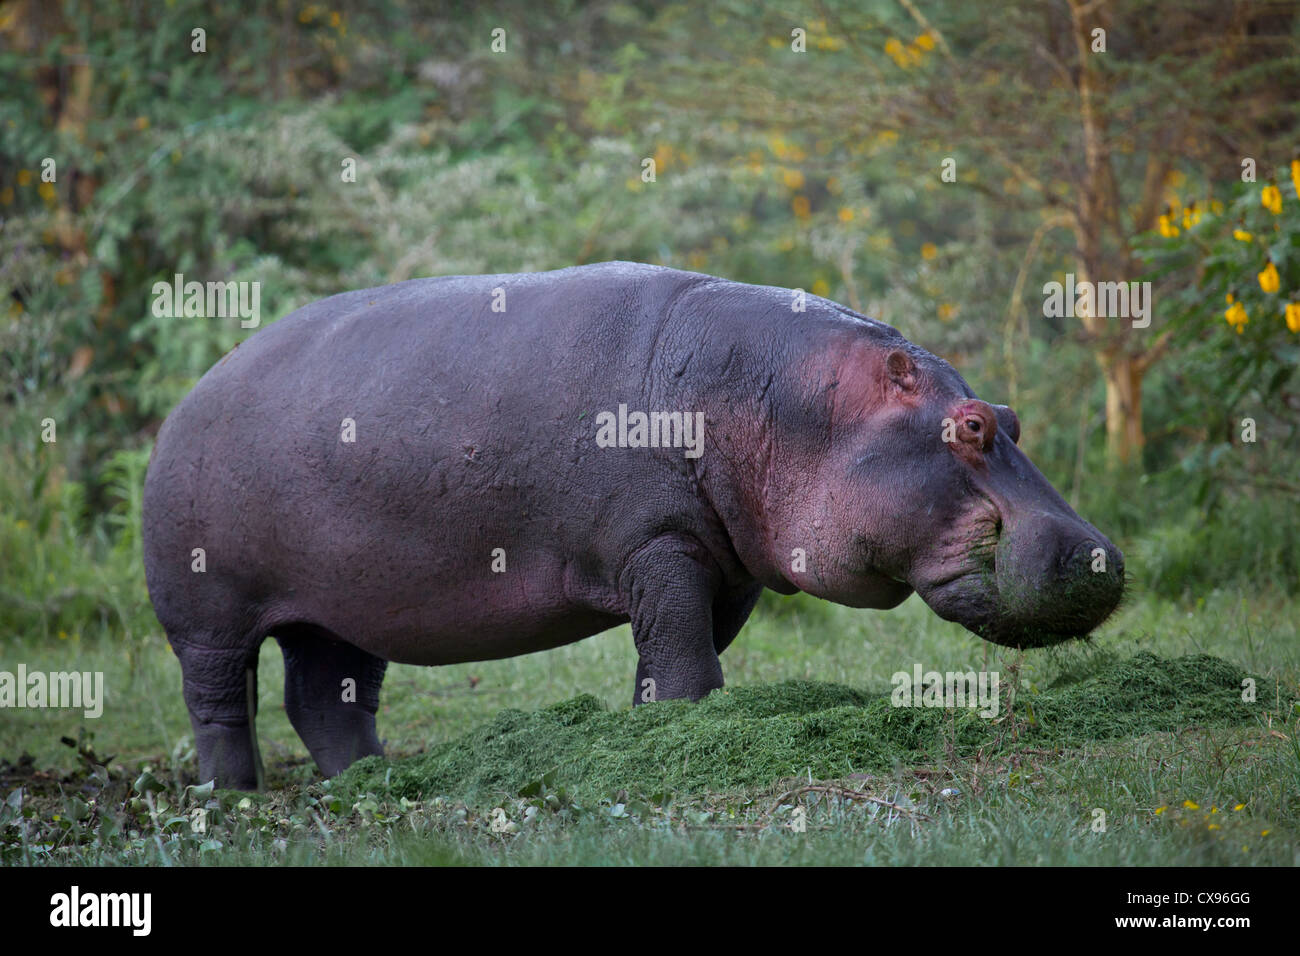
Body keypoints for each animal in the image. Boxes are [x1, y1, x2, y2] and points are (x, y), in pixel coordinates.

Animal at [139, 257, 1118, 790]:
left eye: (1009, 417)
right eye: (972, 427)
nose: (1100, 554)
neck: (793, 401)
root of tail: (189, 394)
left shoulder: (728, 564)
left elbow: (683, 650)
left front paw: (656, 729)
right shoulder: (660, 545)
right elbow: (683, 652)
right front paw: (679, 731)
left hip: (345, 605)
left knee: (327, 696)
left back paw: (378, 780)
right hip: (209, 613)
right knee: (221, 701)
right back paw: (235, 796)